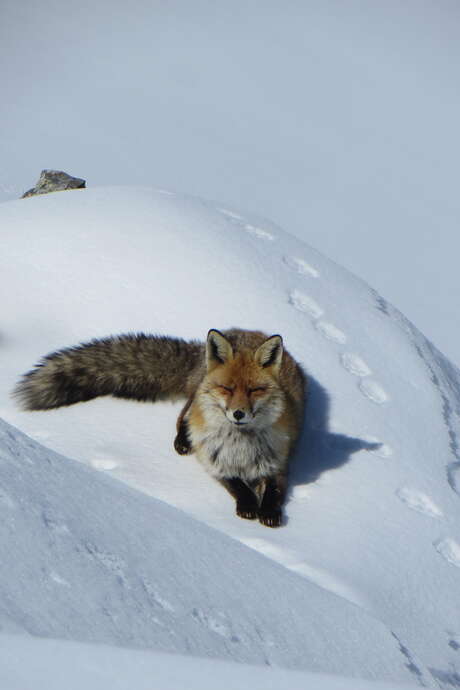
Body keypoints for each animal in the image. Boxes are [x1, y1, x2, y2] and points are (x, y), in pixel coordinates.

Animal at [14, 328, 308, 528]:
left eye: (255, 390)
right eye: (227, 388)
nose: (238, 414)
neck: (239, 446)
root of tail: (244, 331)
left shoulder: (278, 462)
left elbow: (274, 490)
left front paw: (268, 512)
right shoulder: (215, 462)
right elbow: (236, 485)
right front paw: (248, 505)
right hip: (193, 402)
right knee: (182, 417)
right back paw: (182, 441)